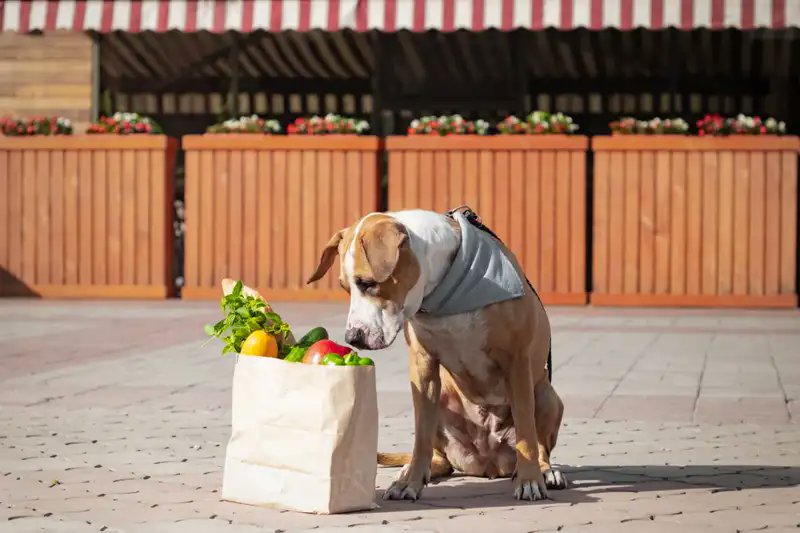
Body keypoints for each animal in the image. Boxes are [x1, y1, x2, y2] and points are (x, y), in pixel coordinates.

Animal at [304, 210, 564, 500]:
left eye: (368, 284)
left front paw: (530, 480)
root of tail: (488, 463)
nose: (352, 338)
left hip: (546, 395)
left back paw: (545, 471)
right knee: (437, 453)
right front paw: (410, 481)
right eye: (345, 287)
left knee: (539, 443)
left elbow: (526, 433)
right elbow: (421, 436)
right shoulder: (423, 367)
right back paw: (411, 471)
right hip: (442, 400)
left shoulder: (516, 361)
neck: (443, 295)